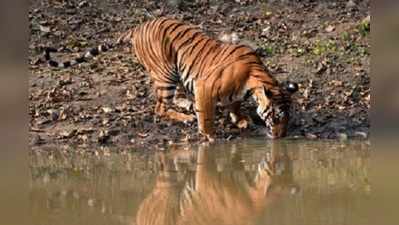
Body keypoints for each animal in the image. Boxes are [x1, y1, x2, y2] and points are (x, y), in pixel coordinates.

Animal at [44, 17, 300, 141]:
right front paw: (209, 137)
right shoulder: (204, 86)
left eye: (289, 119)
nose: (281, 137)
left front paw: (241, 120)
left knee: (173, 98)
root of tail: (138, 27)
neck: (254, 81)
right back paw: (185, 117)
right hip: (165, 72)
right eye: (277, 117)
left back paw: (187, 105)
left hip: (176, 72)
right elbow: (206, 116)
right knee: (159, 108)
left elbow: (234, 104)